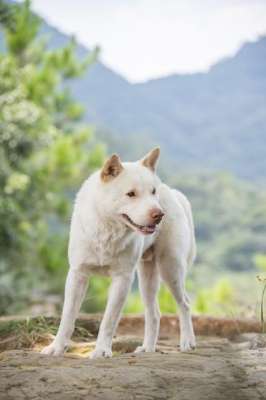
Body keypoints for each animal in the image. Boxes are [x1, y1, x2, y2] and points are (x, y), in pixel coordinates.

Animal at [41, 148, 195, 358]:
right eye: (131, 194)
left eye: (152, 192)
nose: (159, 215)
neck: (108, 229)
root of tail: (173, 193)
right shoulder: (77, 274)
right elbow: (67, 317)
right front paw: (56, 348)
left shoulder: (123, 278)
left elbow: (109, 320)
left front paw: (101, 351)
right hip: (147, 276)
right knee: (154, 312)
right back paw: (147, 348)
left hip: (170, 269)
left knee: (184, 304)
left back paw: (187, 342)